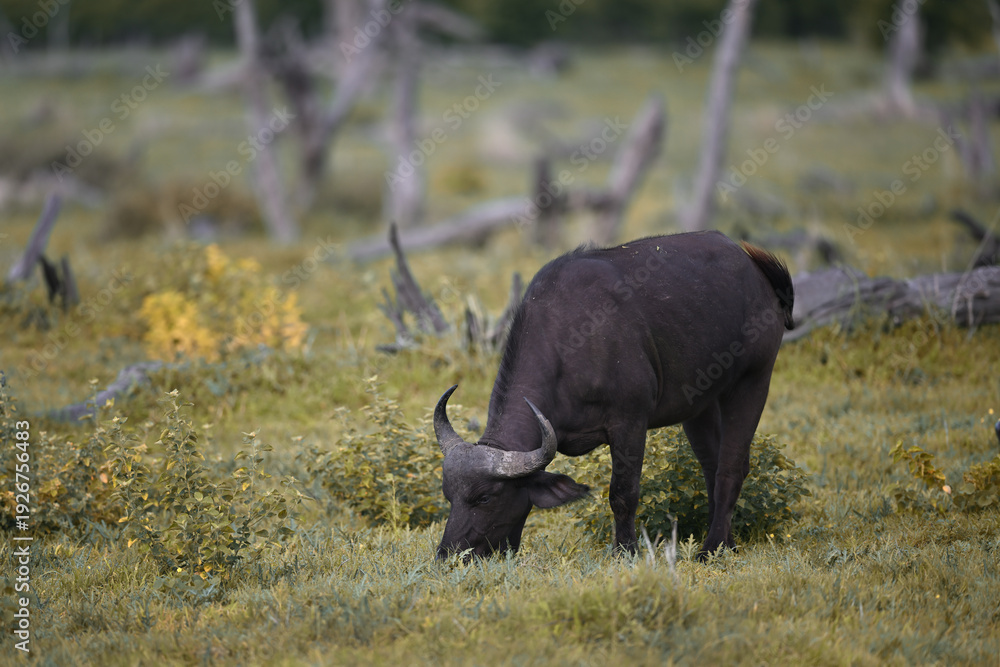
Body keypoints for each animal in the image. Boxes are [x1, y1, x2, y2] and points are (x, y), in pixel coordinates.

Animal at [433, 230, 794, 560]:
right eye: (448, 495)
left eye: (485, 497)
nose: (448, 554)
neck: (570, 343)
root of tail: (755, 269)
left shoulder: (629, 422)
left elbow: (623, 493)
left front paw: (625, 551)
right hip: (699, 405)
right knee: (712, 466)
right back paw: (726, 542)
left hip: (753, 381)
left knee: (731, 469)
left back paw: (711, 549)